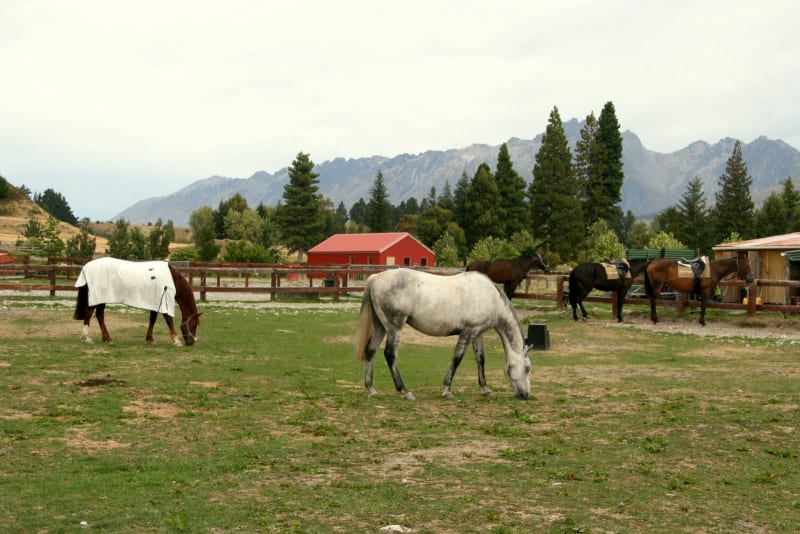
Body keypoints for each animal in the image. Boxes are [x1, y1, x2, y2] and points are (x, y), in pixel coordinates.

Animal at [73, 257, 201, 345]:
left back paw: (107, 339)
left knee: (99, 316)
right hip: (96, 298)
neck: (171, 279)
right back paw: (86, 338)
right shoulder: (164, 301)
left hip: (102, 299)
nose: (191, 342)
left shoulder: (156, 302)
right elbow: (169, 319)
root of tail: (87, 267)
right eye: (193, 325)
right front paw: (176, 340)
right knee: (89, 314)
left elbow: (152, 320)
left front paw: (150, 339)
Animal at [353, 268, 531, 400]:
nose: (526, 395)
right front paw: (447, 389)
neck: (489, 297)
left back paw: (371, 389)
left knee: (371, 352)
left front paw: (485, 389)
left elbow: (480, 360)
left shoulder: (477, 334)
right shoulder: (467, 332)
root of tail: (376, 278)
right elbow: (457, 359)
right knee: (390, 354)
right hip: (394, 328)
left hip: (380, 327)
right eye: (528, 368)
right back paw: (404, 391)